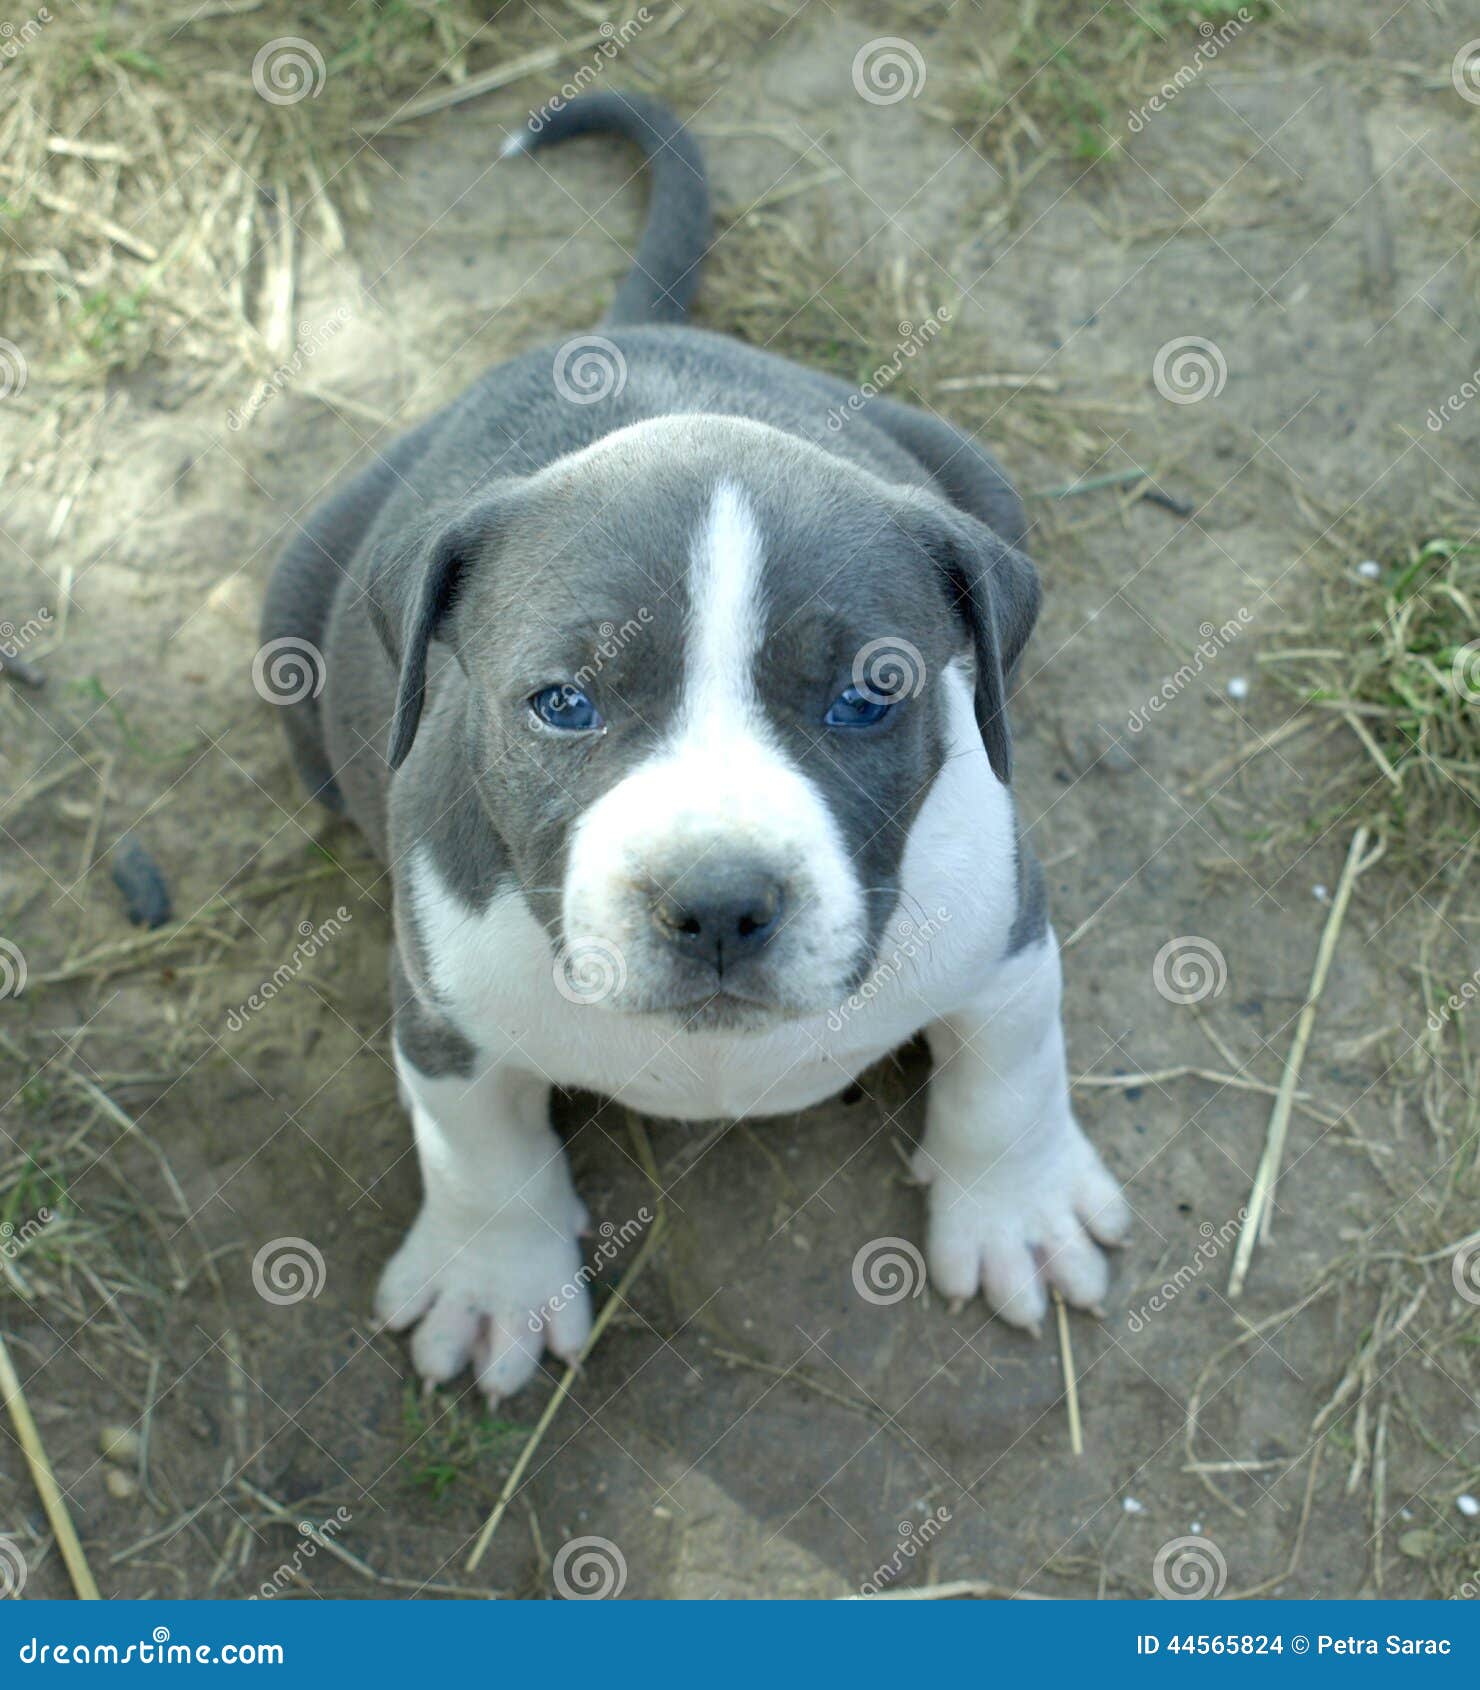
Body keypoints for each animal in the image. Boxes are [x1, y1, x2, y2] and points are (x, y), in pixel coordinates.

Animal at [260, 89, 1128, 1399]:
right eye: (562, 704)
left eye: (869, 697)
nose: (718, 901)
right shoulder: (439, 1006)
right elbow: (477, 1144)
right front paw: (491, 1283)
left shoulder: (1004, 927)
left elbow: (1008, 1070)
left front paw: (1016, 1209)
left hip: (971, 469)